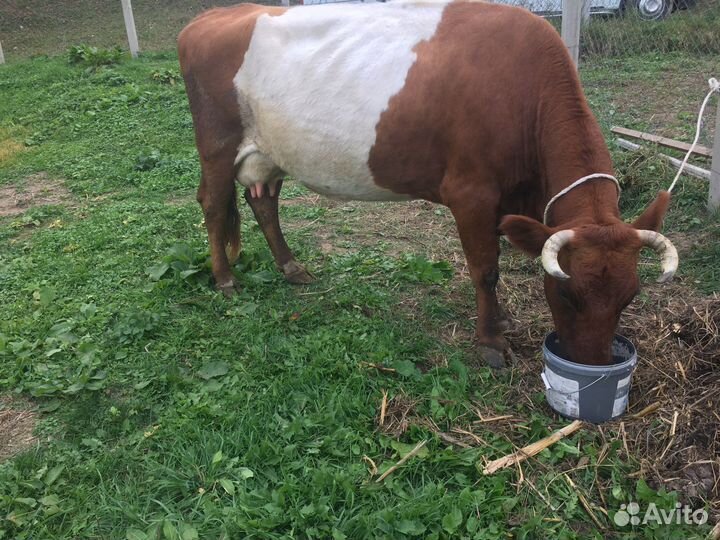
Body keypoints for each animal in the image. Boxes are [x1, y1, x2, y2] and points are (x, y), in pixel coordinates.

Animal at [177, 1, 678, 368]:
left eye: (630, 297)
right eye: (569, 294)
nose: (592, 365)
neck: (522, 93)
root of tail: (210, 17)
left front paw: (503, 322)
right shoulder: (471, 194)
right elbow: (486, 269)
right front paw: (490, 341)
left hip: (270, 150)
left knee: (263, 202)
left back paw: (291, 267)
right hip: (217, 144)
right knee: (213, 203)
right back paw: (225, 279)